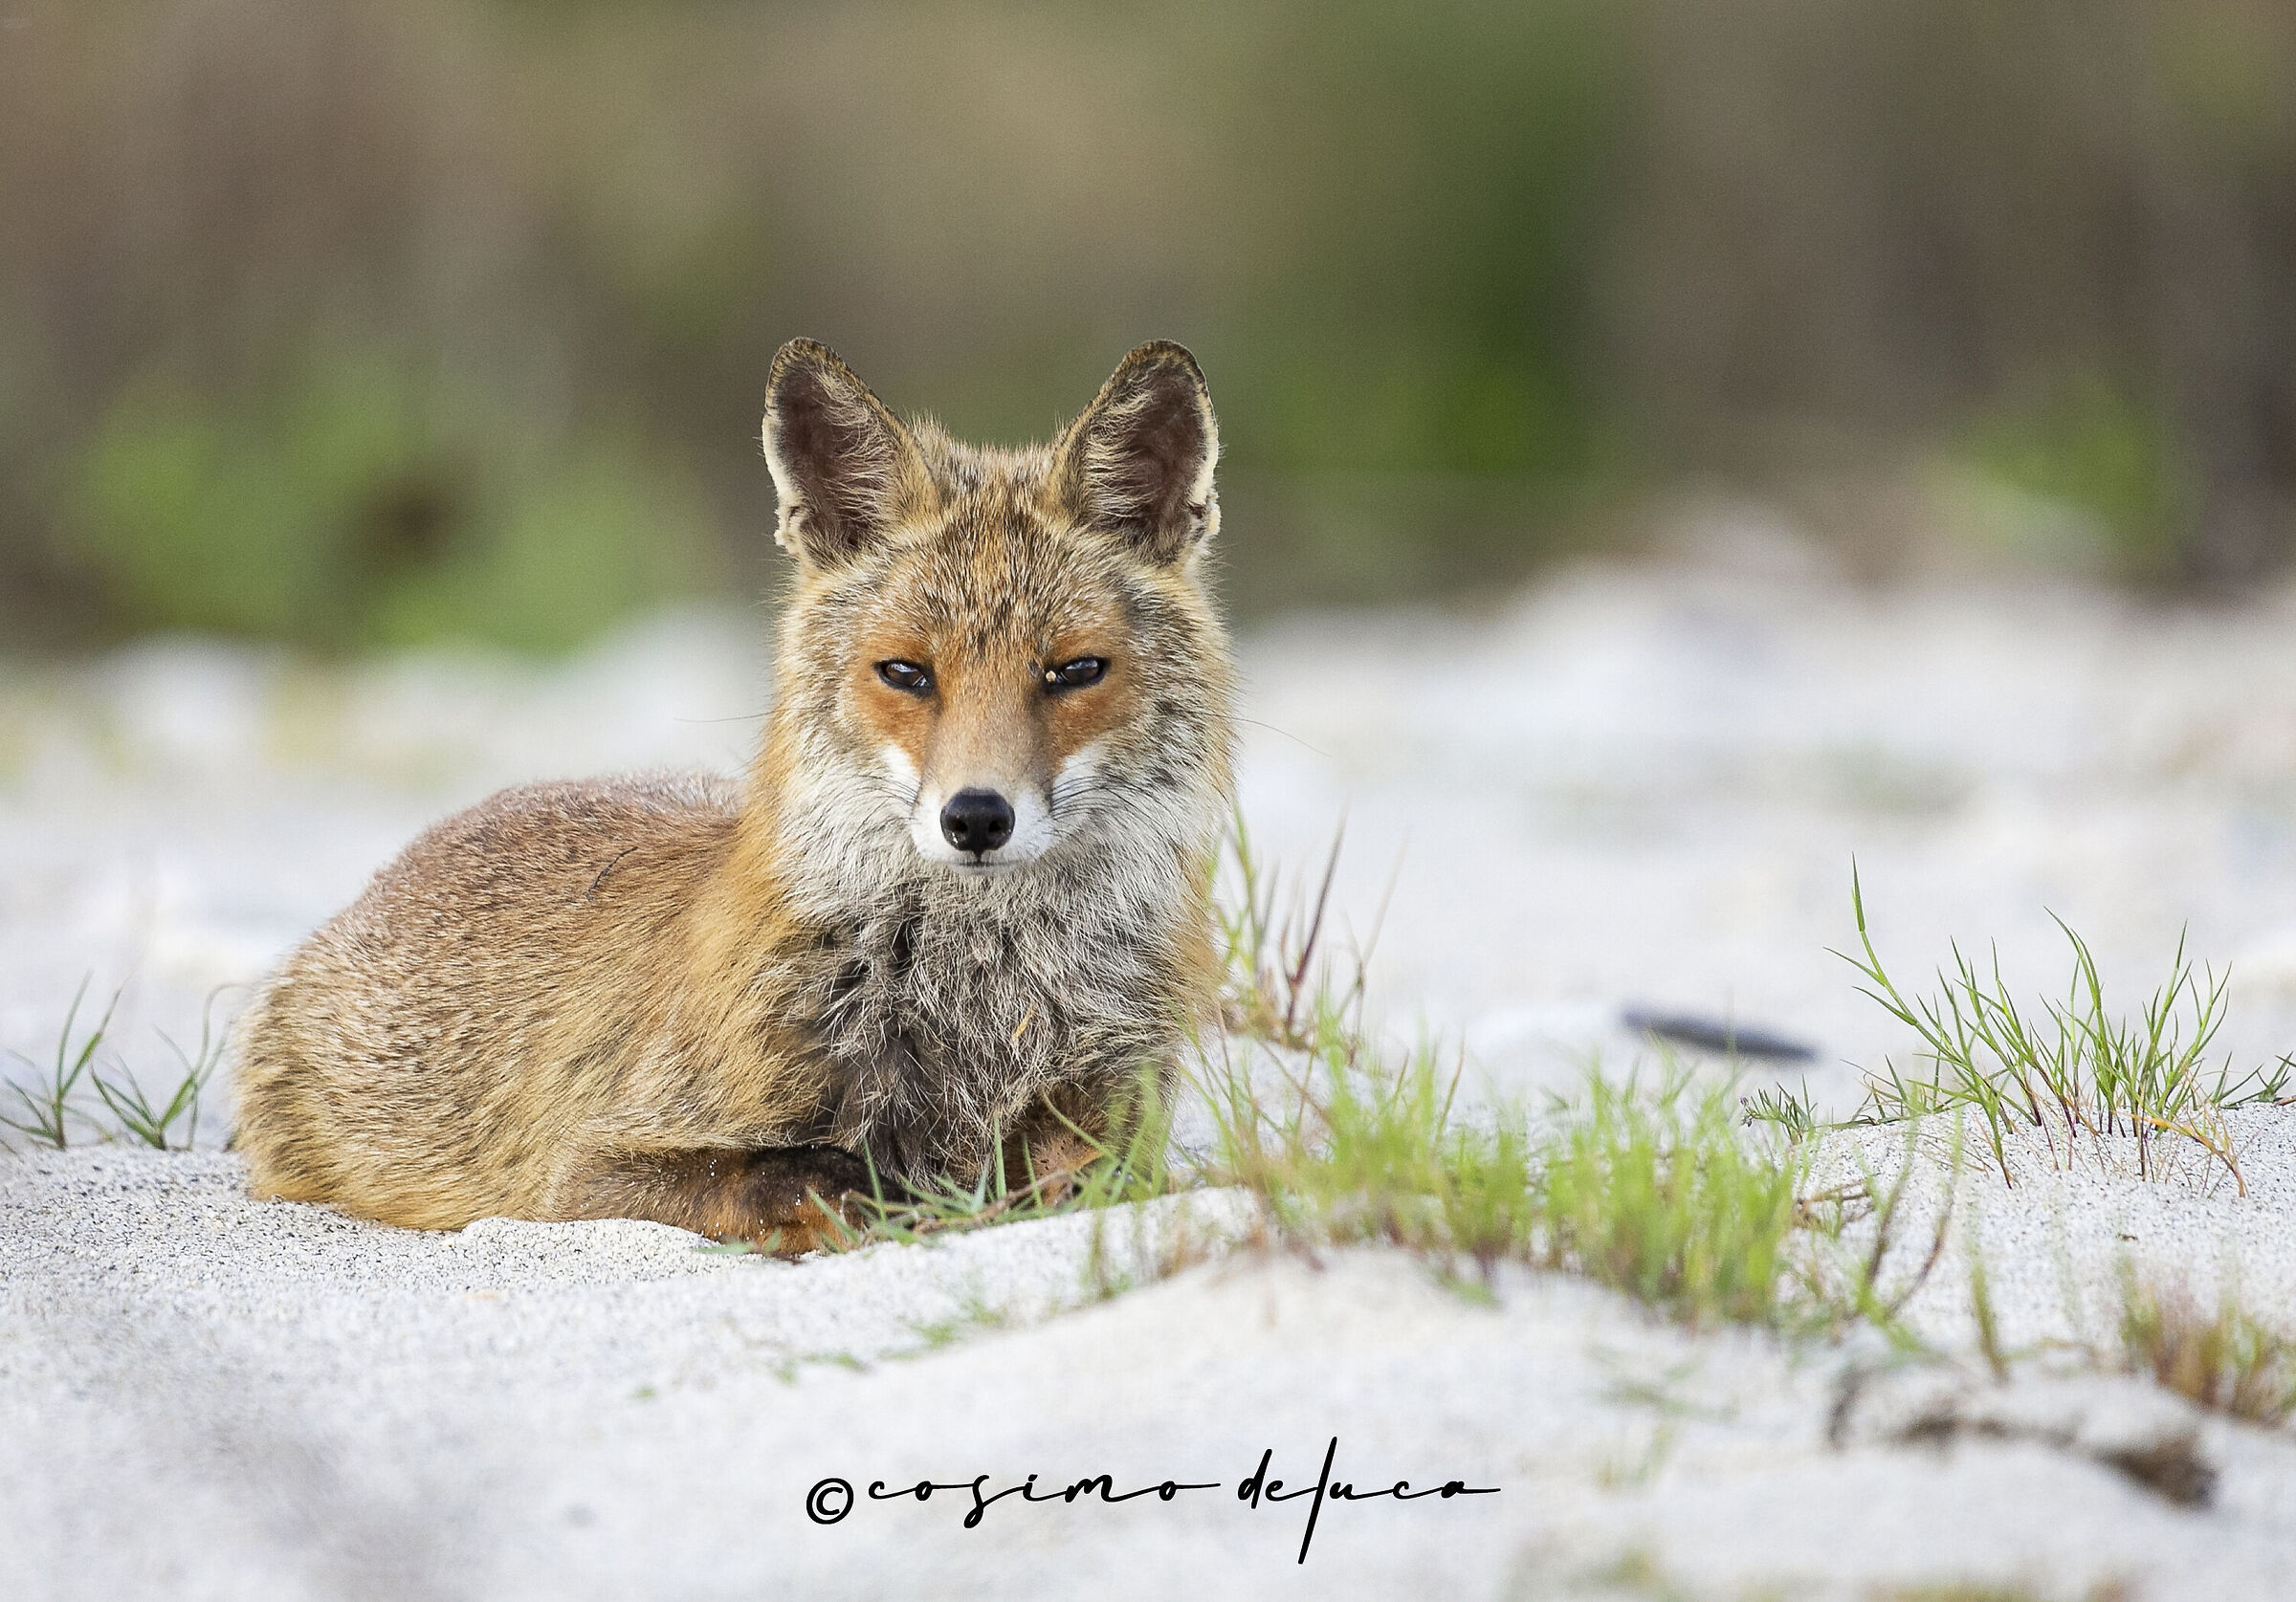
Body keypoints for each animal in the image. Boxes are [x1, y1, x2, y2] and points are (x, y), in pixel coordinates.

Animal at [231, 338, 1236, 1254]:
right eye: (906, 673)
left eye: (1075, 671)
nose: (976, 817)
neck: (985, 1002)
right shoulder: (576, 1171)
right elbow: (780, 1173)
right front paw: (875, 1194)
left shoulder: (1117, 1115)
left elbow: (1082, 1175)